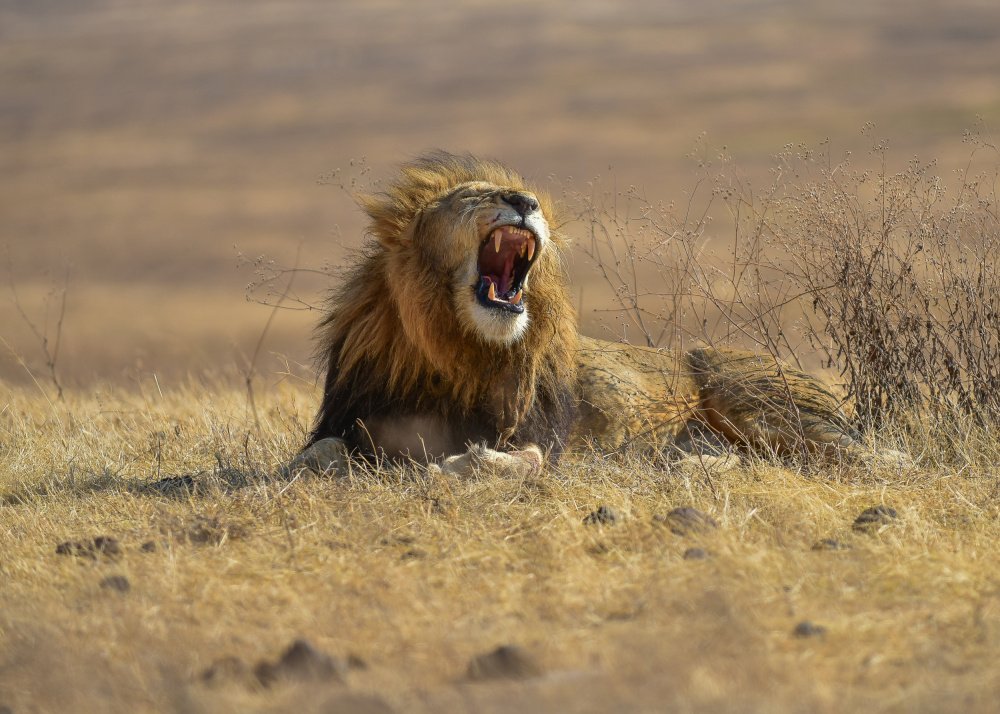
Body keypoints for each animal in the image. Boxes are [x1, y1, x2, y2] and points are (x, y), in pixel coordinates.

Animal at [284, 150, 900, 478]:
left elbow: (514, 458)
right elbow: (319, 453)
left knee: (876, 458)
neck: (458, 350)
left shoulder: (543, 436)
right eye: (471, 197)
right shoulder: (350, 419)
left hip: (757, 401)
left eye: (523, 195)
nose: (526, 202)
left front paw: (461, 466)